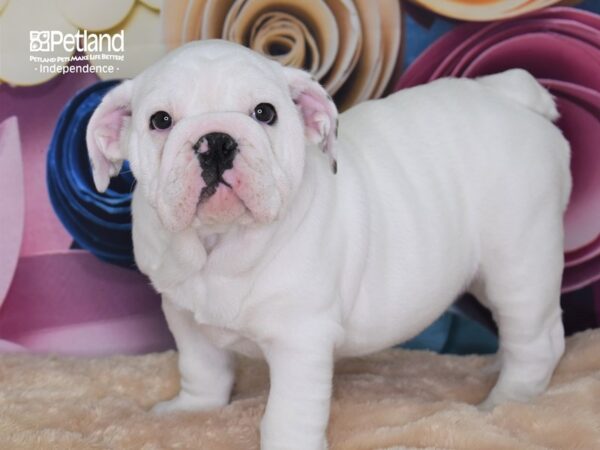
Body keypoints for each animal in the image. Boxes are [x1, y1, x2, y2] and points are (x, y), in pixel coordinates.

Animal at [85, 40, 572, 448]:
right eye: (160, 121)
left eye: (265, 113)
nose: (217, 141)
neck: (220, 242)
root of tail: (509, 96)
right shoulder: (183, 315)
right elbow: (201, 368)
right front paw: (192, 411)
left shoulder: (301, 340)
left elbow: (289, 412)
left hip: (519, 263)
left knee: (538, 341)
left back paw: (507, 399)